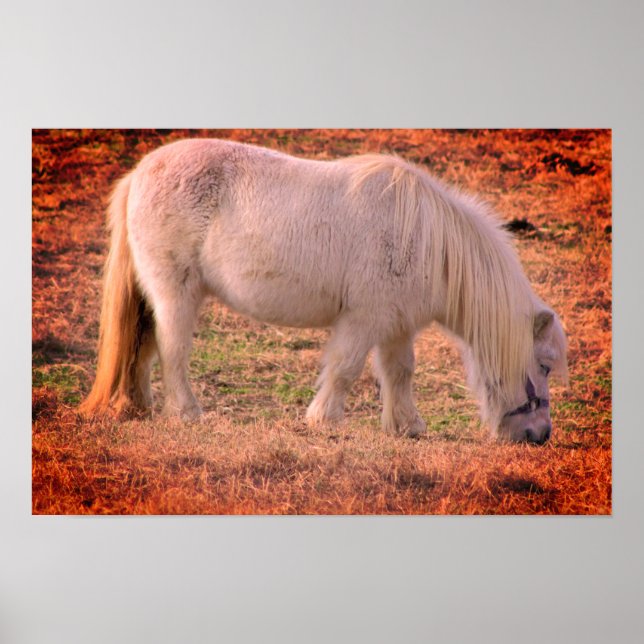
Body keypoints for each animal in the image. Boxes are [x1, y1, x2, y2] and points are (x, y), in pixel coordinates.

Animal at [80, 138, 568, 443]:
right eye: (544, 365)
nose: (539, 436)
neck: (426, 238)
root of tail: (139, 173)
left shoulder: (396, 327)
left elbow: (399, 373)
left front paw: (406, 426)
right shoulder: (363, 320)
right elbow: (345, 368)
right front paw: (325, 421)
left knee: (142, 348)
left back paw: (138, 407)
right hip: (175, 295)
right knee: (172, 350)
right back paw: (185, 413)